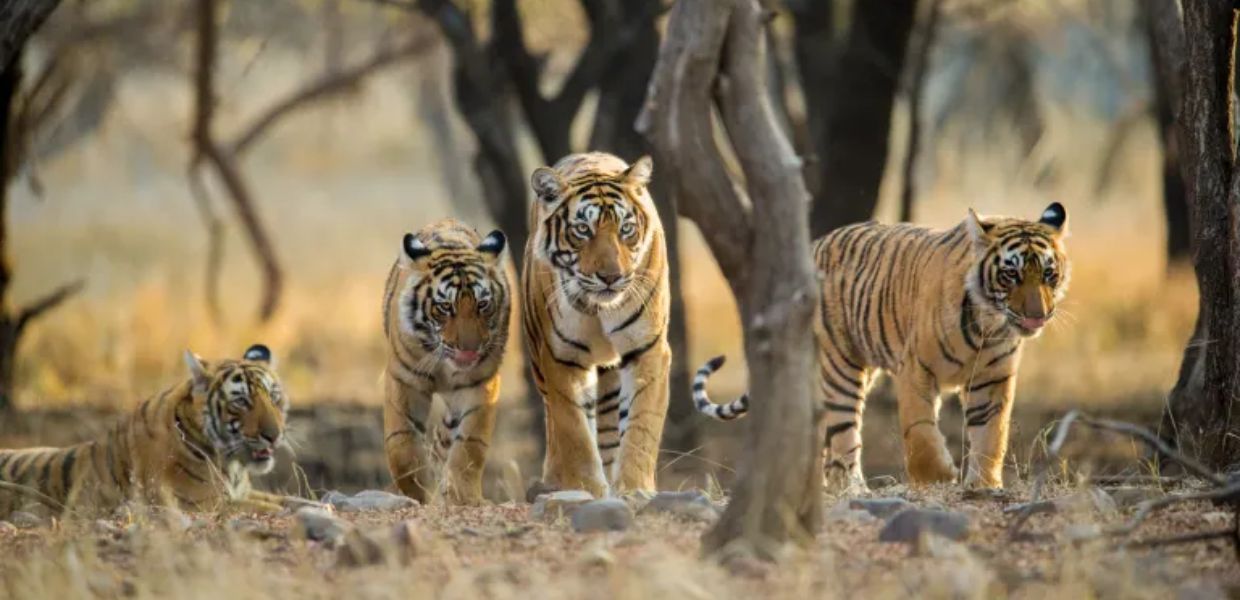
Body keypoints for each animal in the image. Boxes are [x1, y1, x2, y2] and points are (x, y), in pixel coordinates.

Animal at [0, 344, 306, 518]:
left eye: (274, 397)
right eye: (241, 401)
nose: (274, 435)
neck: (231, 465)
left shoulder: (242, 493)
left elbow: (293, 500)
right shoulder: (201, 503)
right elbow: (274, 509)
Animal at [381, 219, 511, 505]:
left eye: (483, 304)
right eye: (444, 307)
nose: (469, 349)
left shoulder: (480, 384)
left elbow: (469, 445)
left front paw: (462, 496)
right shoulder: (404, 380)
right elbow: (402, 444)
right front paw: (417, 493)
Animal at [523, 152, 670, 497]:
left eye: (626, 229)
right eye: (582, 230)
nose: (611, 277)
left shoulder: (648, 349)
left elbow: (641, 425)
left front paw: (634, 489)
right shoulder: (561, 358)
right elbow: (574, 431)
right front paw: (585, 488)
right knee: (554, 423)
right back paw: (553, 481)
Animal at [693, 203, 1070, 491]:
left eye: (1048, 274)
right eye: (1011, 275)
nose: (1037, 315)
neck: (988, 325)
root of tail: (814, 245)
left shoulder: (992, 380)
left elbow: (992, 434)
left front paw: (984, 485)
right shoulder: (916, 370)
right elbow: (919, 432)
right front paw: (938, 477)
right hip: (840, 368)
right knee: (844, 435)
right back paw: (852, 489)